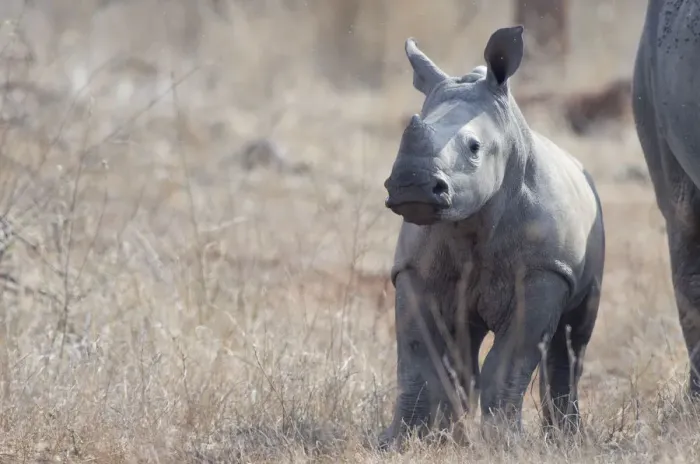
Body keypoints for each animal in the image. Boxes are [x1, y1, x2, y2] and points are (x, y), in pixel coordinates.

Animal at [380, 26, 605, 447]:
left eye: (474, 147)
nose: (411, 184)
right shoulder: (413, 268)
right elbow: (418, 355)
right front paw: (400, 441)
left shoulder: (543, 271)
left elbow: (508, 362)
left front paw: (504, 443)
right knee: (462, 345)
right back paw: (453, 432)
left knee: (573, 339)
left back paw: (564, 438)